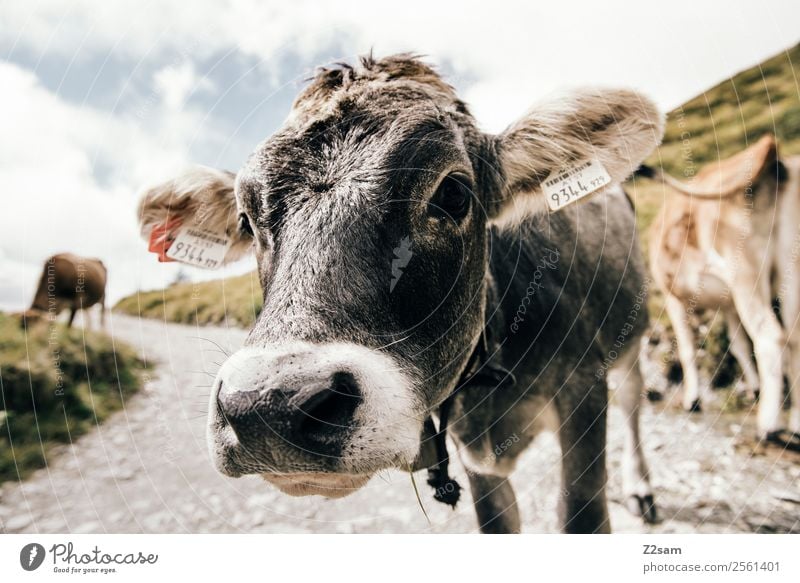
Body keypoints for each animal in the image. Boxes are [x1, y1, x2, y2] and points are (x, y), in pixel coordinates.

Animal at [136, 54, 664, 532]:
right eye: (246, 220)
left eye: (453, 192)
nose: (270, 406)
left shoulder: (583, 392)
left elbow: (582, 515)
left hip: (629, 334)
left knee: (634, 398)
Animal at [644, 133, 800, 452]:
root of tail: (770, 152)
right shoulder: (728, 306)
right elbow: (739, 346)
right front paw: (754, 388)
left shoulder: (672, 297)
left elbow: (687, 348)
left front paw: (692, 399)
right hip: (790, 271)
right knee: (795, 338)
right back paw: (795, 424)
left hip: (746, 275)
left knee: (770, 337)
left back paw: (769, 427)